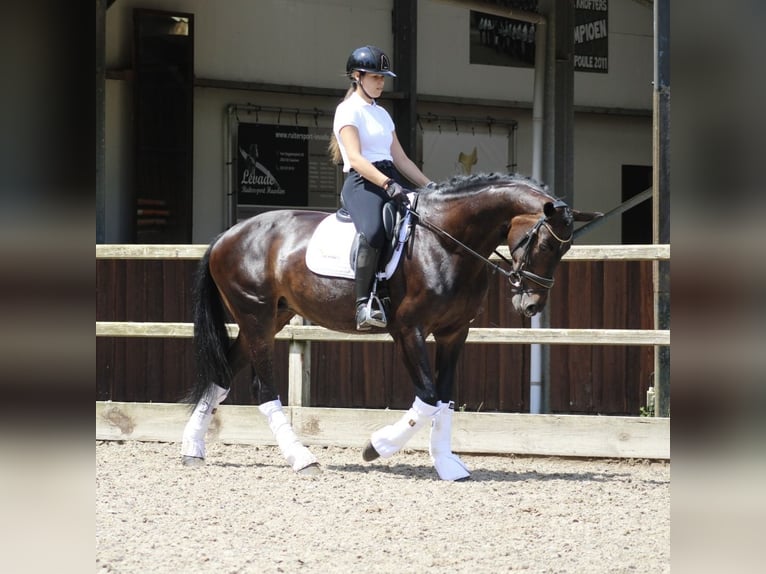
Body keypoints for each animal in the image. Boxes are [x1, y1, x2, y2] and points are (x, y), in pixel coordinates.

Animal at [180, 172, 600, 482]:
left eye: (563, 249)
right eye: (542, 243)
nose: (530, 305)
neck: (447, 241)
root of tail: (228, 235)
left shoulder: (454, 332)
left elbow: (444, 399)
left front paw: (447, 464)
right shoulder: (408, 330)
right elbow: (427, 399)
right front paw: (375, 447)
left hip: (269, 319)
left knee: (221, 377)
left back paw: (191, 450)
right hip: (257, 318)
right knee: (263, 388)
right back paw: (302, 459)